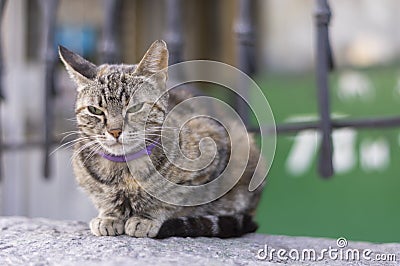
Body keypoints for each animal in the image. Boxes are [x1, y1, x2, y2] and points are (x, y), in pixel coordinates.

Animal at [58, 40, 266, 238]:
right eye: (95, 110)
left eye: (135, 108)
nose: (115, 131)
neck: (124, 172)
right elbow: (103, 199)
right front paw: (109, 216)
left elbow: (174, 200)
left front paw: (146, 218)